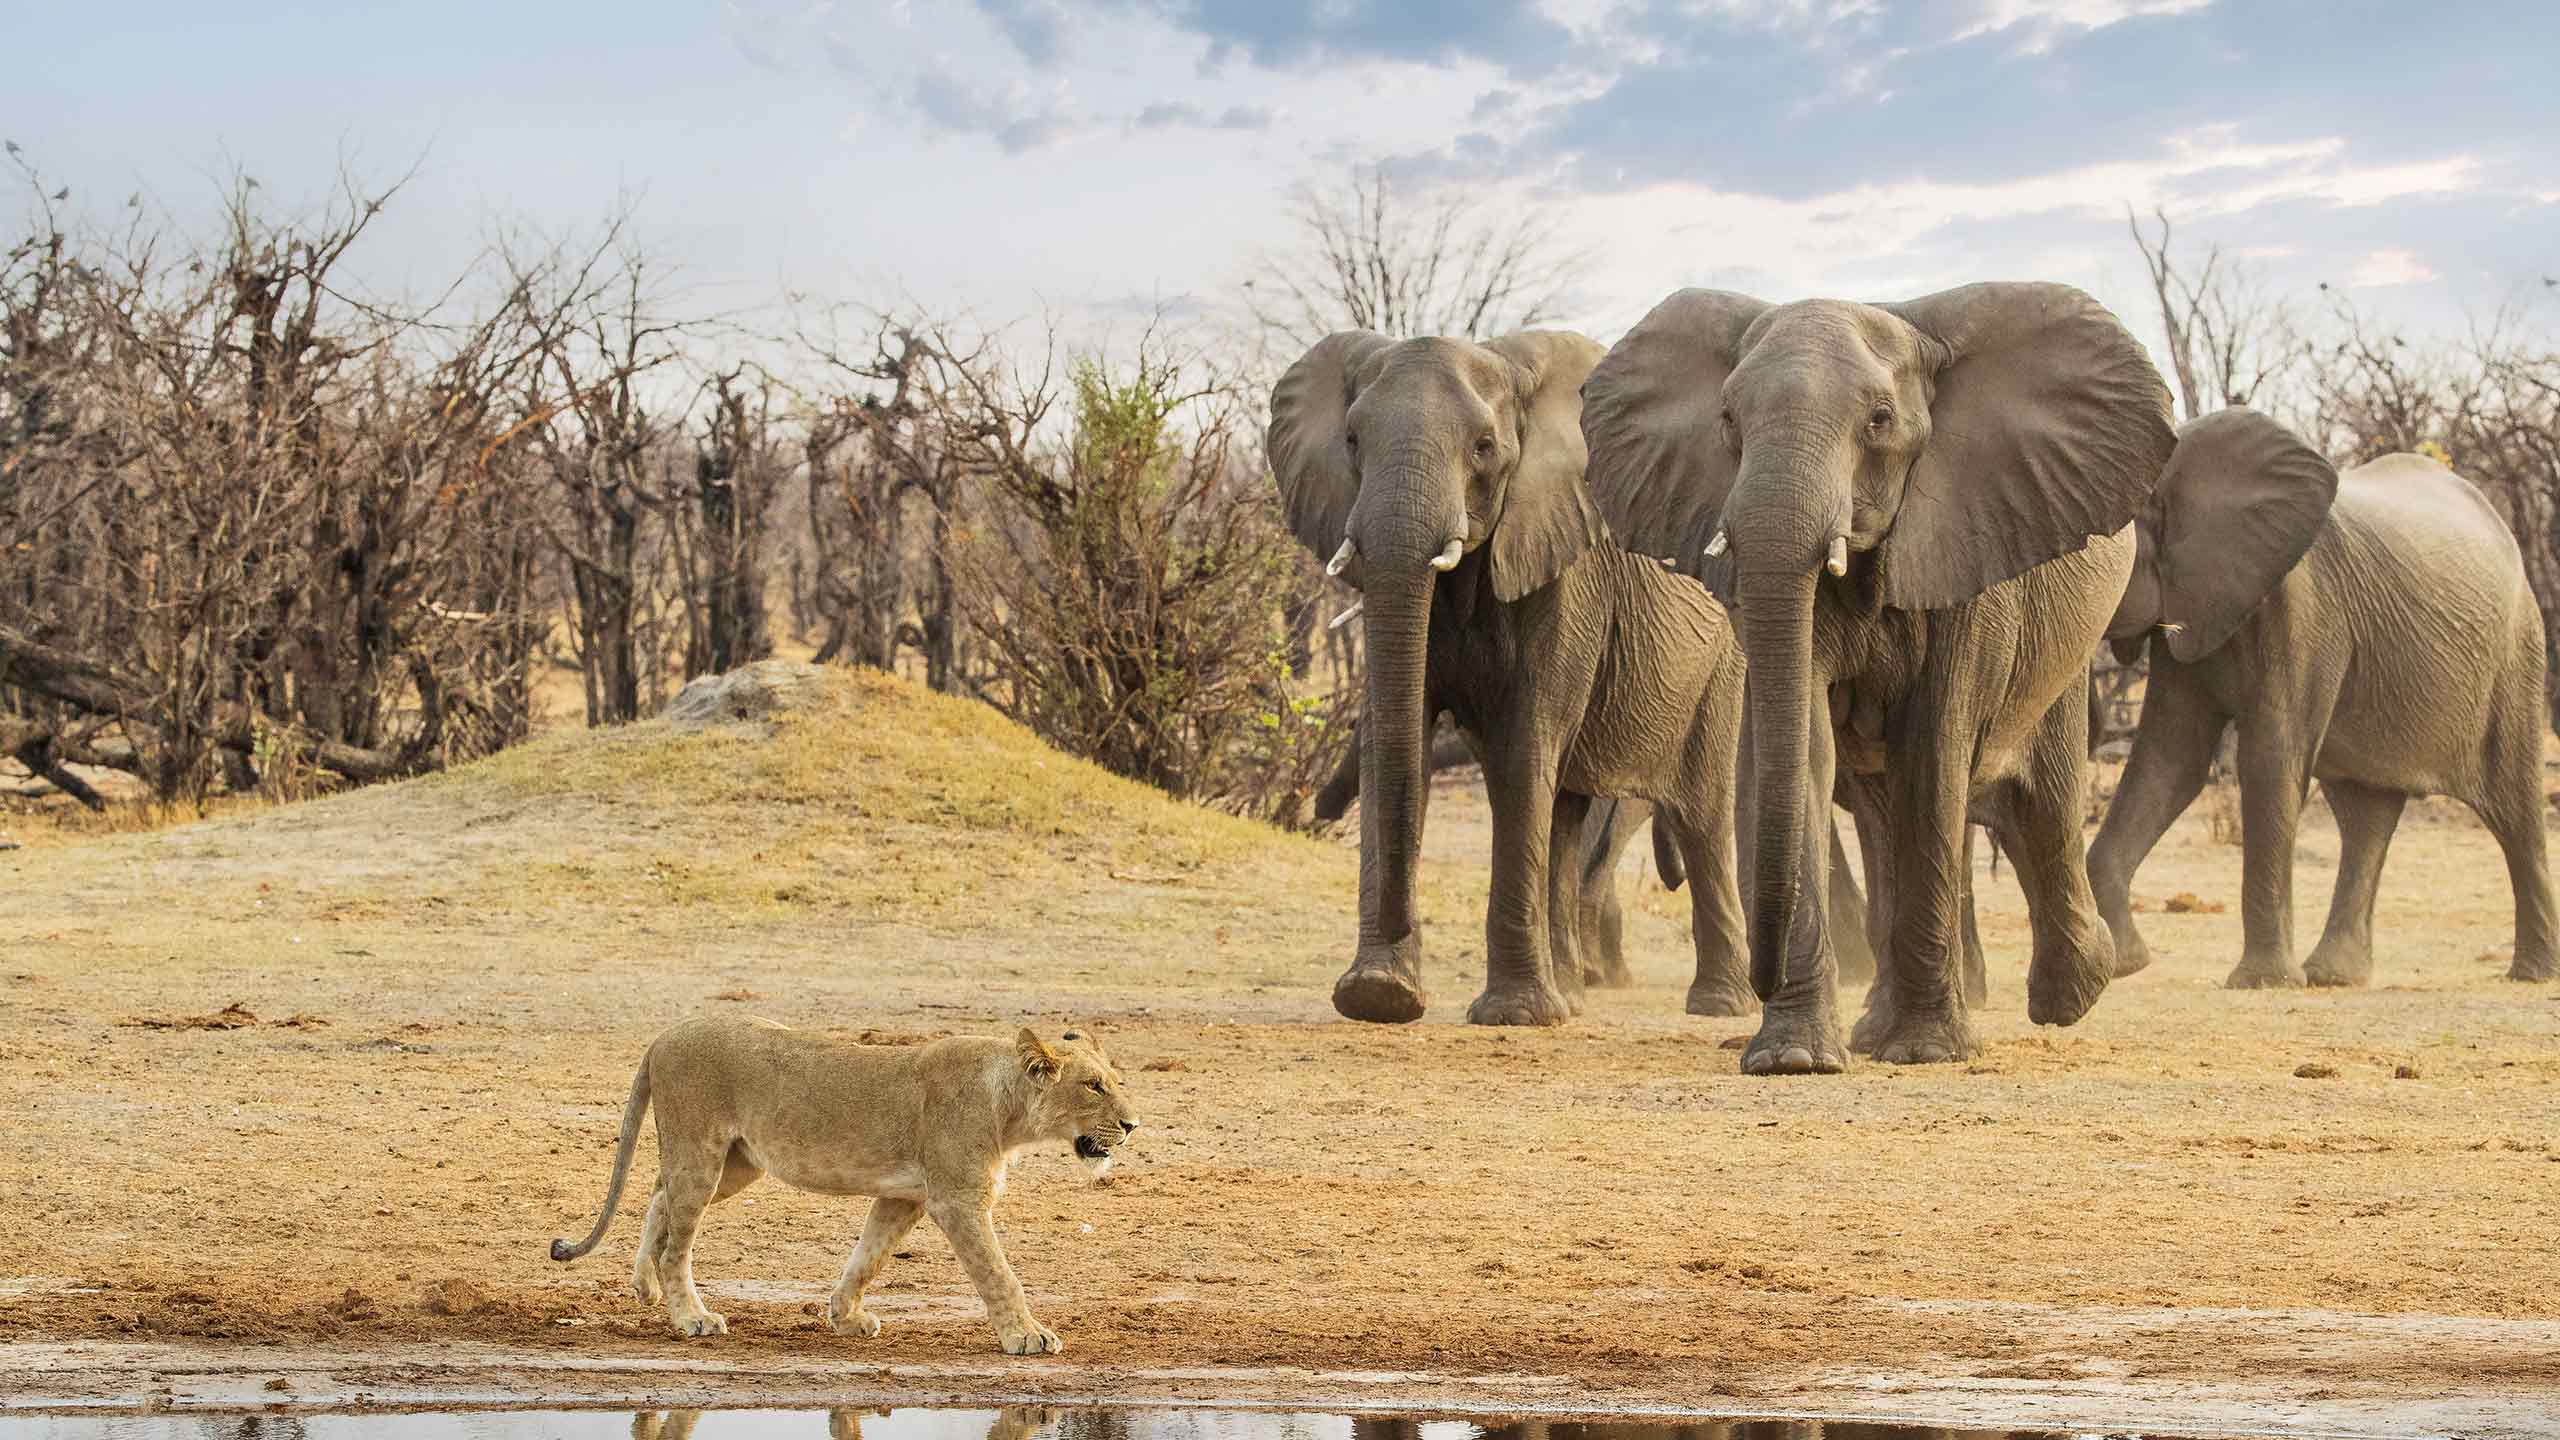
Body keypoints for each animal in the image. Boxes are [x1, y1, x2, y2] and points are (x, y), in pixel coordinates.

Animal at [1264, 327, 1751, 1019]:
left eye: (1484, 448)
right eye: (1353, 441)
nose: (1315, 814)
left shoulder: (1568, 571)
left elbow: (1526, 746)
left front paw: (1514, 1016)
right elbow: (1400, 740)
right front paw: (1377, 994)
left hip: (1720, 666)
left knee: (1701, 815)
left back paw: (1719, 1006)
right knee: (1567, 811)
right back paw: (1570, 996)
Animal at [1587, 280, 2170, 1065]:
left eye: (1880, 420)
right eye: (1728, 421)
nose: (1761, 978)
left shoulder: (1969, 549)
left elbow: (1933, 759)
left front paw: (1926, 1054)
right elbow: (1798, 753)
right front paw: (1793, 1060)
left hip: (2065, 646)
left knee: (2038, 802)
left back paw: (2075, 991)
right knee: (1883, 812)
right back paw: (1873, 1032)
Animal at [2088, 409, 2549, 978]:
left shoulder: (2306, 604)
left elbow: (2270, 759)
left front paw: (2261, 982)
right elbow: (2170, 758)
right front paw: (2125, 963)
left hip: (2516, 655)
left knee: (2515, 810)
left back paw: (2531, 973)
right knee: (2366, 818)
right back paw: (2334, 975)